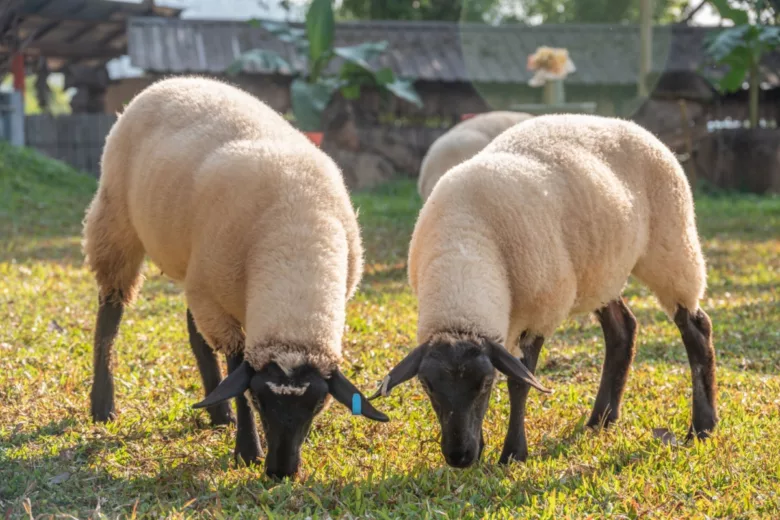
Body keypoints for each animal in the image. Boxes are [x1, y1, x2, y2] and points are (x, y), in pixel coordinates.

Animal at [81, 76, 386, 480]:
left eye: (317, 404)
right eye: (260, 398)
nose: (280, 472)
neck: (294, 247)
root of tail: (175, 80)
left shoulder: (214, 291)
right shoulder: (219, 305)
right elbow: (235, 372)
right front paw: (248, 451)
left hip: (195, 269)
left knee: (194, 334)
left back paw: (217, 413)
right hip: (117, 223)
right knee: (110, 313)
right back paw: (103, 406)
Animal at [368, 112, 716, 468]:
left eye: (484, 383)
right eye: (427, 385)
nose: (460, 457)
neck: (464, 247)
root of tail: (630, 125)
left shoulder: (538, 313)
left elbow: (519, 382)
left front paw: (513, 454)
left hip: (671, 245)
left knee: (696, 328)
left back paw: (701, 428)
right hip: (600, 270)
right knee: (622, 328)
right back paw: (601, 419)